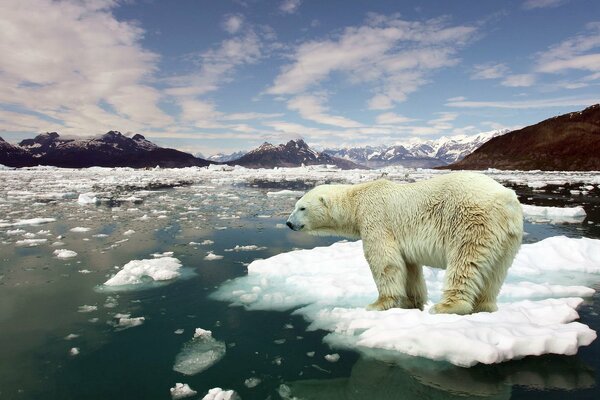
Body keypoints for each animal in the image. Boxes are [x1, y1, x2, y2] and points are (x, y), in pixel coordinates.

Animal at [284, 172, 520, 316]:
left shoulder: (376, 219)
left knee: (465, 262)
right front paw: (411, 303)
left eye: (302, 208)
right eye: (295, 206)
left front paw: (378, 304)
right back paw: (484, 306)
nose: (288, 223)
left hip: (471, 221)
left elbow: (384, 261)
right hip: (507, 238)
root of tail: (506, 200)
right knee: (495, 272)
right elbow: (409, 267)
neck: (357, 201)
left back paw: (446, 306)